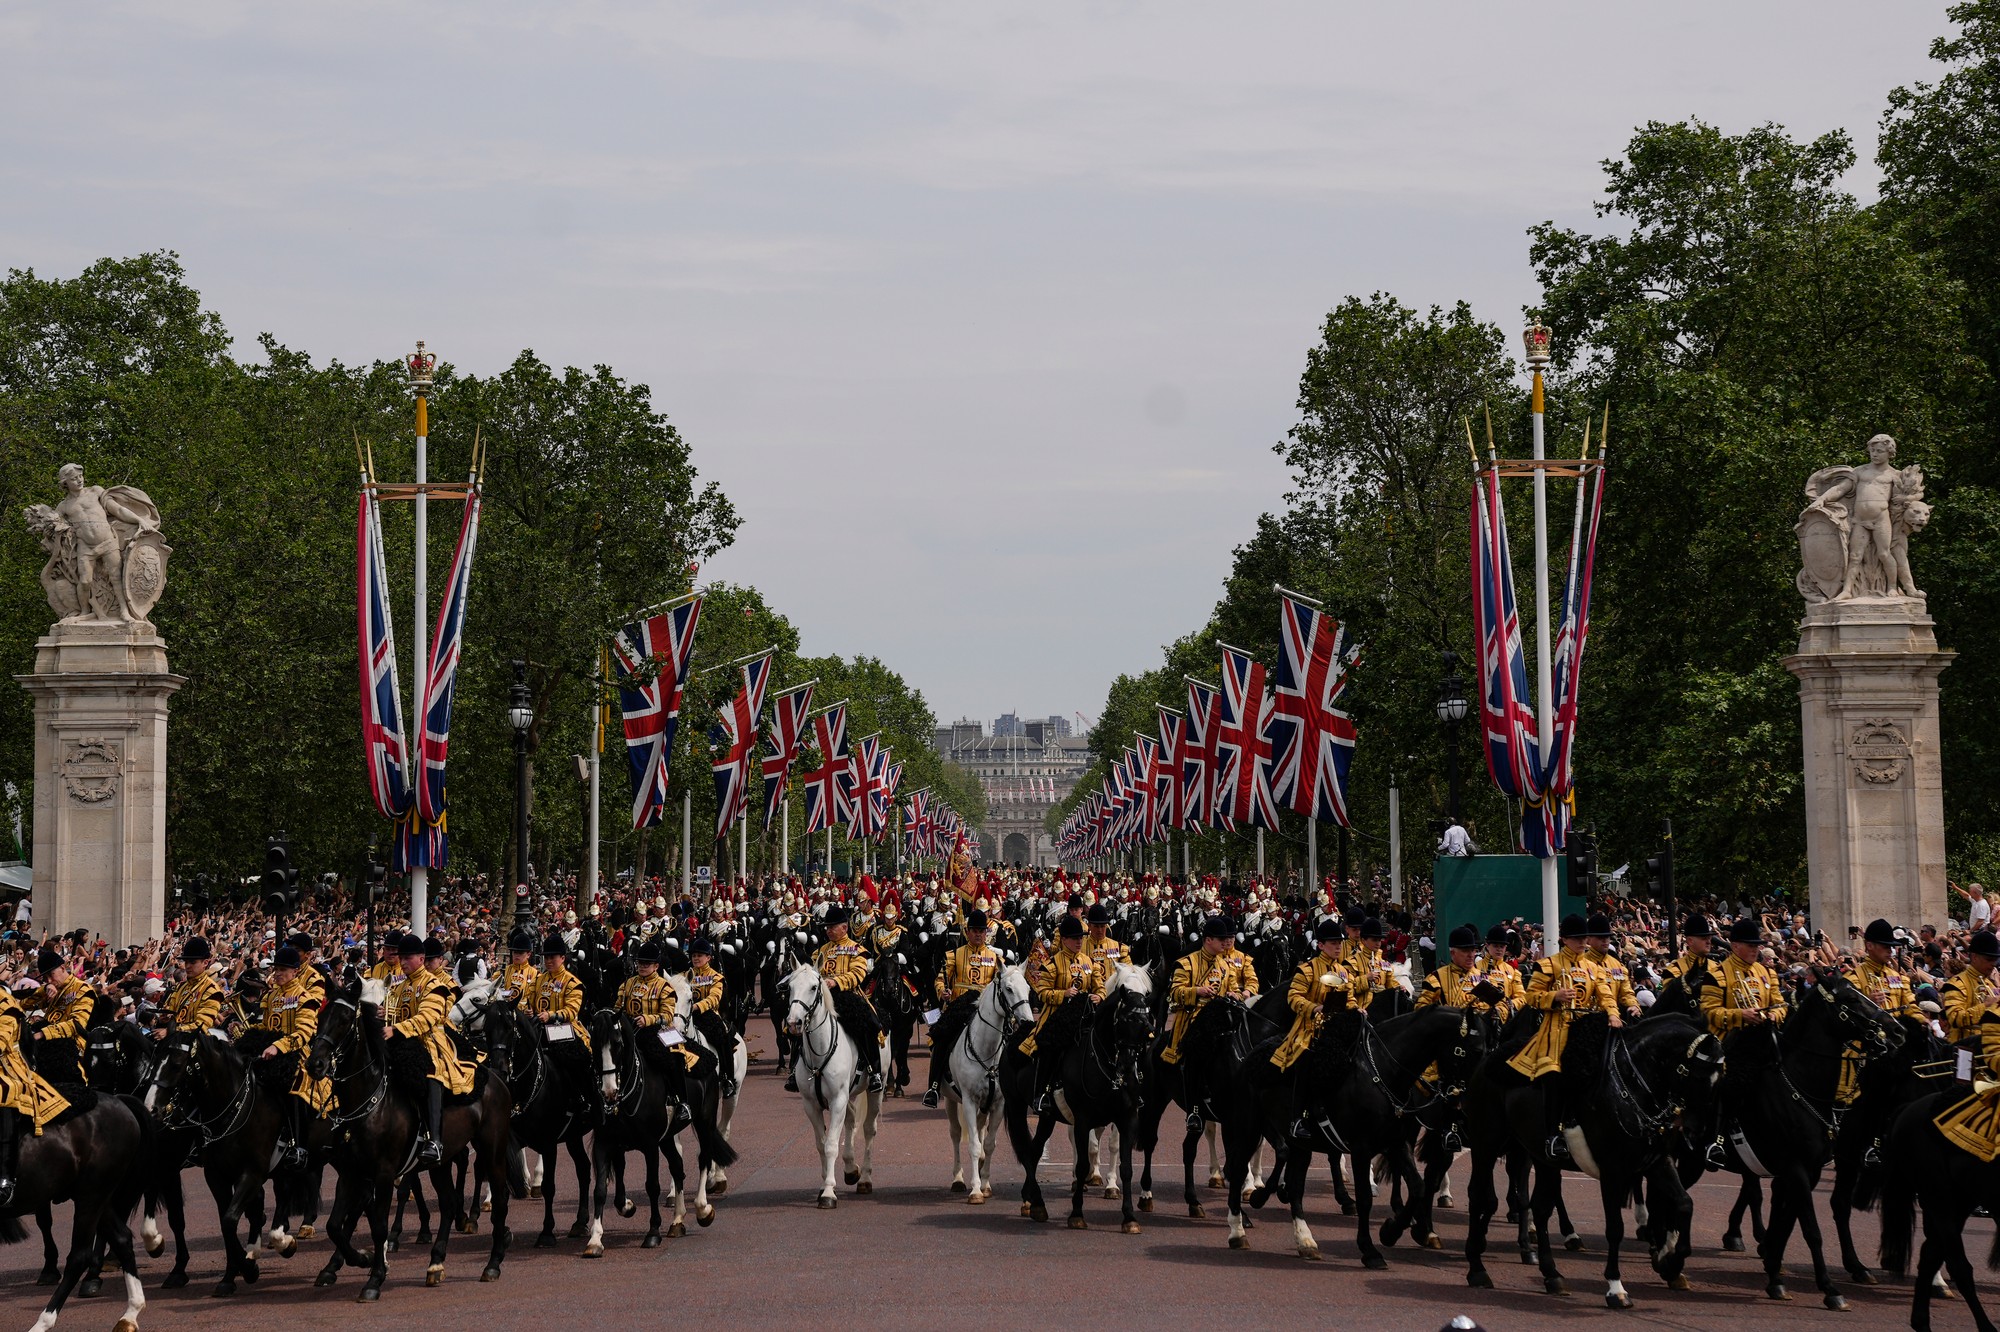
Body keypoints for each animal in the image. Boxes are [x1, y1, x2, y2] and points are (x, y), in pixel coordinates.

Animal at [306, 976, 516, 1296]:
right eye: (320, 1017)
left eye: (344, 1019)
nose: (315, 1064)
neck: (368, 1101)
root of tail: (493, 1076)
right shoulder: (350, 1172)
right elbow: (334, 1225)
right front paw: (359, 1259)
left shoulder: (383, 1172)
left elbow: (378, 1224)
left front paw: (375, 1277)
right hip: (441, 1161)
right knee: (448, 1202)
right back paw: (436, 1263)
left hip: (491, 1148)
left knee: (500, 1197)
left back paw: (492, 1263)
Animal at [780, 960, 884, 1208]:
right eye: (790, 987)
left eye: (813, 988)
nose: (794, 1023)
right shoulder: (811, 1104)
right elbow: (820, 1144)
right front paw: (824, 1186)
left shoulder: (837, 1101)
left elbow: (830, 1145)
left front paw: (828, 1192)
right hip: (848, 1096)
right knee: (851, 1120)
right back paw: (851, 1169)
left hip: (876, 1090)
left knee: (868, 1129)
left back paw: (864, 1179)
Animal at [940, 964, 1032, 1200]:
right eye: (1008, 989)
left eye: (1028, 988)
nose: (1028, 1023)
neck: (986, 1051)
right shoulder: (969, 1102)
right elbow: (972, 1143)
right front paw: (975, 1190)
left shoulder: (998, 1103)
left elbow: (989, 1144)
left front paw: (986, 1184)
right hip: (949, 1100)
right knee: (955, 1134)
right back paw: (958, 1179)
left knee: (980, 1129)